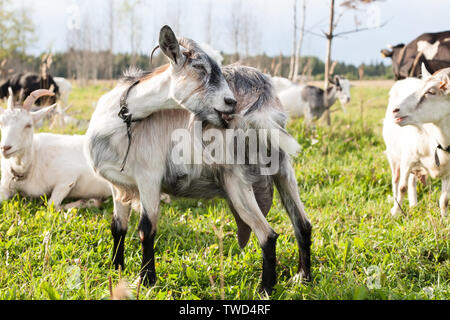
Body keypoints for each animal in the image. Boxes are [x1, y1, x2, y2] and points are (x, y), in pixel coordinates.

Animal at [84, 25, 312, 296]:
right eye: (199, 67)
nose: (231, 102)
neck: (120, 120)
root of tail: (264, 97)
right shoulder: (118, 185)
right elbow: (118, 227)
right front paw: (115, 269)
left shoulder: (149, 177)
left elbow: (146, 229)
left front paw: (146, 281)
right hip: (282, 166)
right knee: (302, 223)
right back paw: (303, 278)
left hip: (237, 178)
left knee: (268, 234)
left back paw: (265, 289)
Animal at [384, 64, 450, 218]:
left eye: (431, 92)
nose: (395, 110)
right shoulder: (407, 158)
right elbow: (402, 188)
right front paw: (395, 213)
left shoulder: (448, 172)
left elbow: (444, 199)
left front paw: (444, 218)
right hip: (393, 155)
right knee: (396, 181)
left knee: (412, 181)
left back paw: (413, 204)